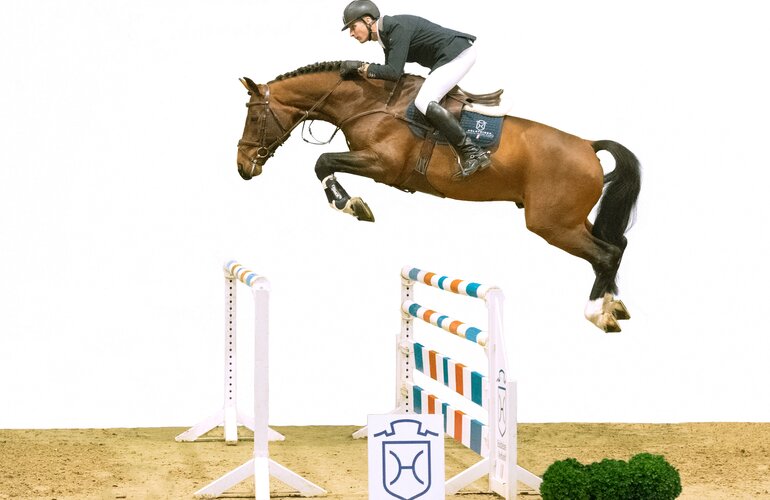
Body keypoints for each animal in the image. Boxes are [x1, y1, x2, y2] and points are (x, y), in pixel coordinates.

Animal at [236, 61, 641, 333]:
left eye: (254, 118)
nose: (242, 167)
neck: (367, 102)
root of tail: (587, 145)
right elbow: (323, 163)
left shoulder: (381, 164)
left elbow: (322, 162)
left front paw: (351, 204)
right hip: (569, 219)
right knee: (616, 245)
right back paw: (614, 304)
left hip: (552, 224)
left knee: (605, 253)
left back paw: (597, 313)